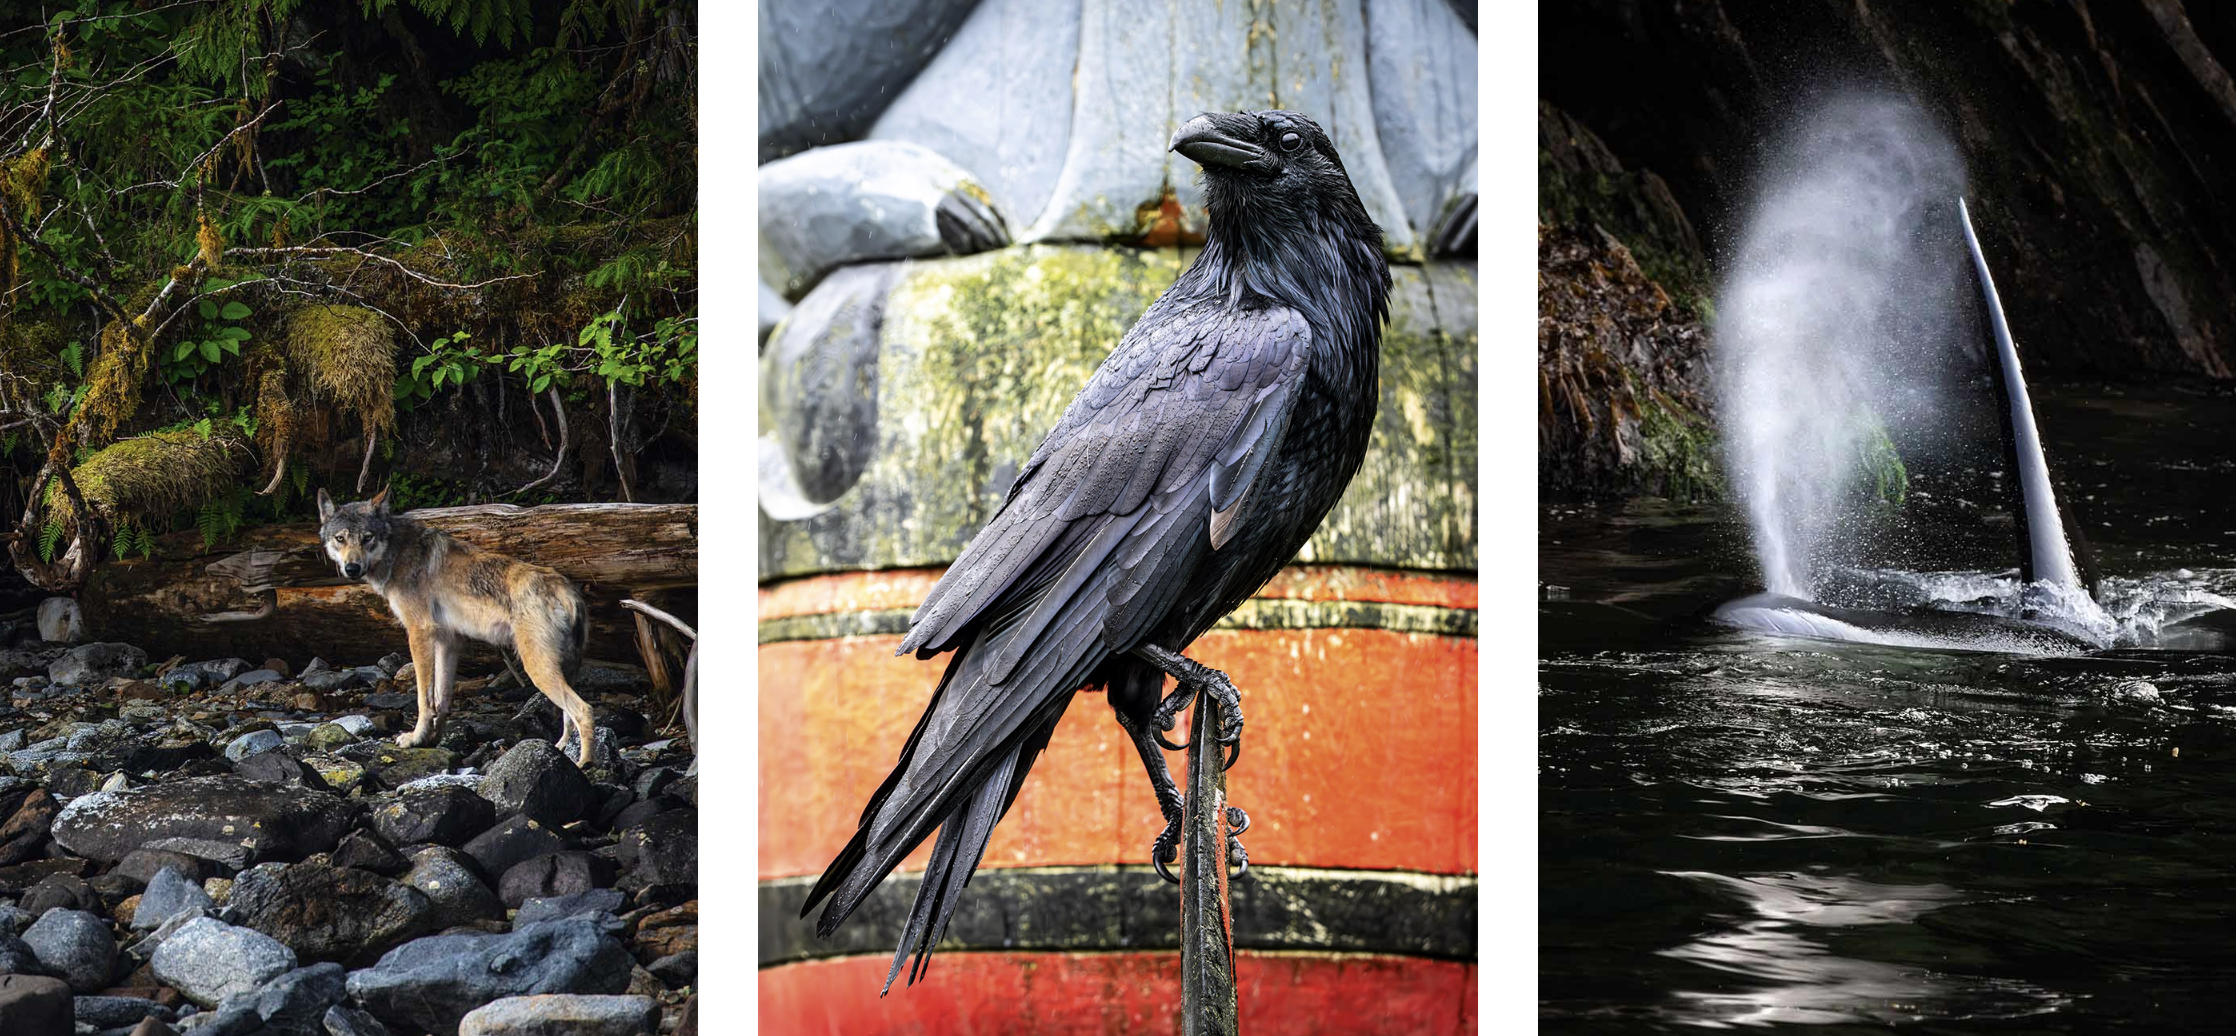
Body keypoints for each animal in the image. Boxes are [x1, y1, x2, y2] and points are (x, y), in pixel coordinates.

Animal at [317, 488, 598, 767]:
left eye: (367, 538)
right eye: (340, 539)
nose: (352, 568)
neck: (397, 554)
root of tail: (566, 589)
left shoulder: (419, 632)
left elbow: (423, 698)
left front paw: (415, 738)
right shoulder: (449, 640)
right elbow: (441, 699)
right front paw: (433, 739)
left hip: (536, 668)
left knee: (583, 710)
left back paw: (583, 765)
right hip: (560, 667)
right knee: (568, 715)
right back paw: (559, 750)